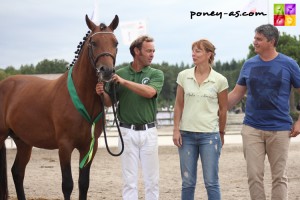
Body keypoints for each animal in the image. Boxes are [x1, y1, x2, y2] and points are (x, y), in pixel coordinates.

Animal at [0, 14, 119, 200]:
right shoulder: (65, 146)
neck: (81, 97)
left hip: (24, 142)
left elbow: (83, 184)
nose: (106, 71)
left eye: (115, 43)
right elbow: (67, 185)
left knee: (17, 172)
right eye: (93, 43)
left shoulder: (89, 147)